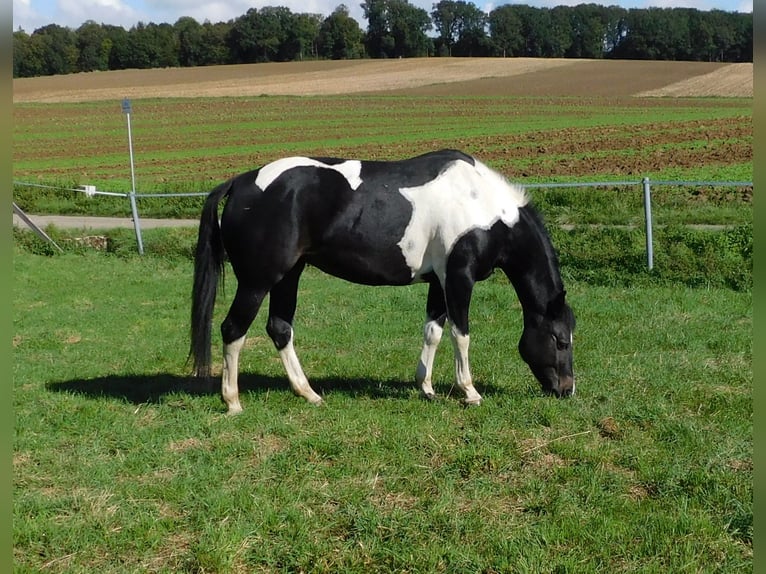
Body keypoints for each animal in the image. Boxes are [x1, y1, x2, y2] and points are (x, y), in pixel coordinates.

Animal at [190, 149, 575, 413]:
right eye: (559, 341)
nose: (567, 390)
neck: (482, 206)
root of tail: (240, 182)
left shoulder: (438, 282)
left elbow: (433, 331)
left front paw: (426, 388)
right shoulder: (458, 278)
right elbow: (460, 334)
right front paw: (469, 392)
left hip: (289, 275)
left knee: (280, 329)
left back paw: (309, 393)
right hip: (257, 281)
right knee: (233, 329)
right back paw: (233, 401)